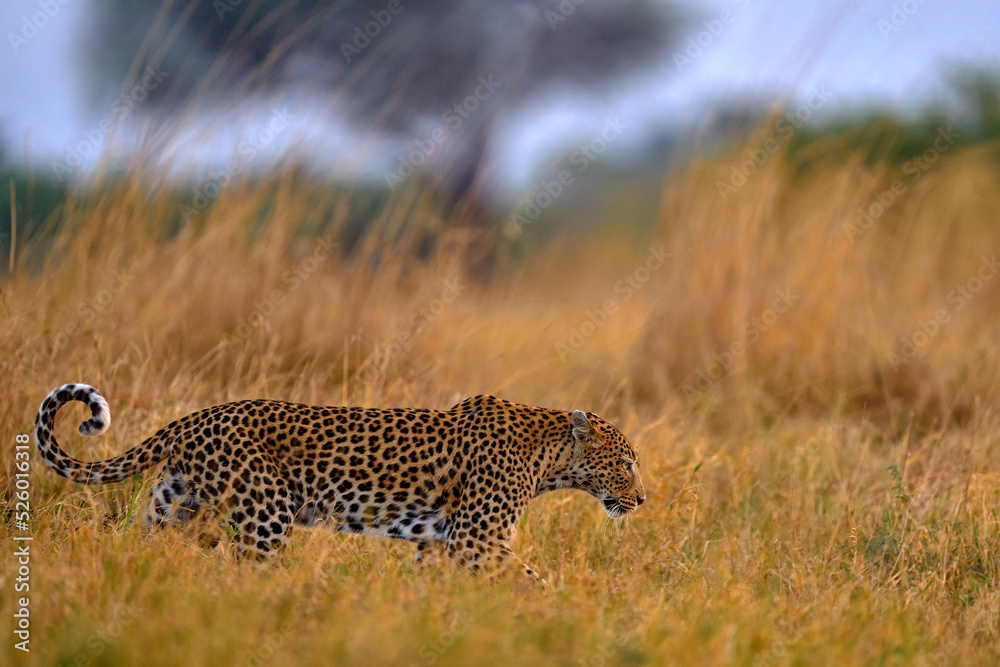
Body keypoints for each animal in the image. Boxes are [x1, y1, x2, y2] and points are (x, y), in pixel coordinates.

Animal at [34, 383, 646, 581]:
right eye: (626, 462)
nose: (641, 498)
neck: (549, 457)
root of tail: (195, 418)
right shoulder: (478, 540)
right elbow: (532, 579)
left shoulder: (440, 542)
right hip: (266, 515)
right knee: (253, 572)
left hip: (171, 505)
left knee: (141, 547)